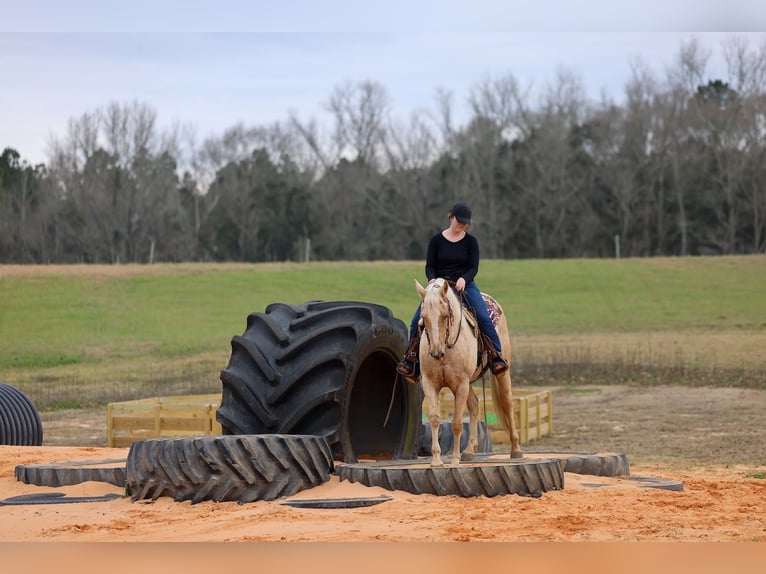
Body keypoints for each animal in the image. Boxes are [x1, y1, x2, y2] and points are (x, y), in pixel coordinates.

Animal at [416, 278, 523, 467]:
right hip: (469, 382)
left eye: (445, 315)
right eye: (424, 318)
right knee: (474, 405)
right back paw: (469, 450)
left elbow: (457, 423)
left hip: (501, 373)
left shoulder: (460, 384)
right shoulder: (430, 383)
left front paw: (454, 460)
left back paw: (516, 449)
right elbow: (435, 418)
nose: (436, 352)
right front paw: (436, 459)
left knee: (507, 403)